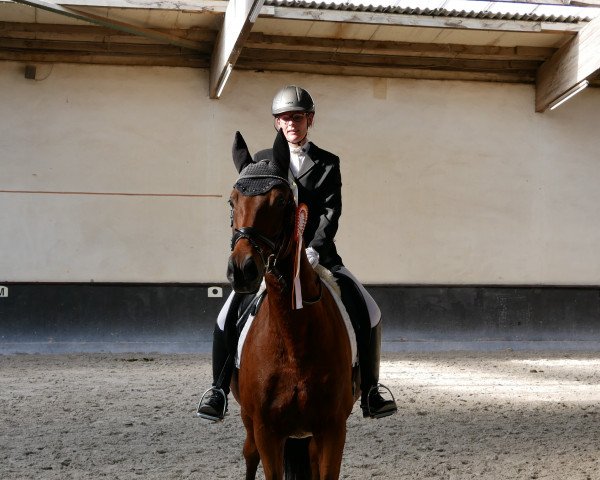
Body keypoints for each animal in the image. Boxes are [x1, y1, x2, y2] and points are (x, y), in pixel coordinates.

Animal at [226, 129, 356, 478]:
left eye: (282, 200)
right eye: (232, 201)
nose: (242, 270)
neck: (293, 335)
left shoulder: (332, 430)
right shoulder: (267, 431)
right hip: (249, 424)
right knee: (249, 456)